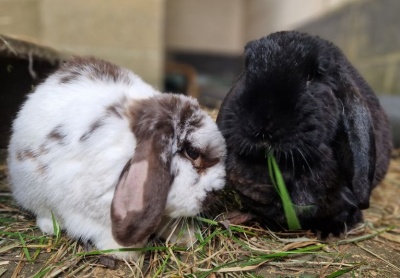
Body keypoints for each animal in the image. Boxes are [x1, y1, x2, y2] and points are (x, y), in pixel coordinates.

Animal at [9, 56, 227, 258]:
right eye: (193, 153)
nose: (215, 193)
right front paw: (127, 253)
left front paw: (186, 237)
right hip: (32, 188)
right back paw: (51, 227)